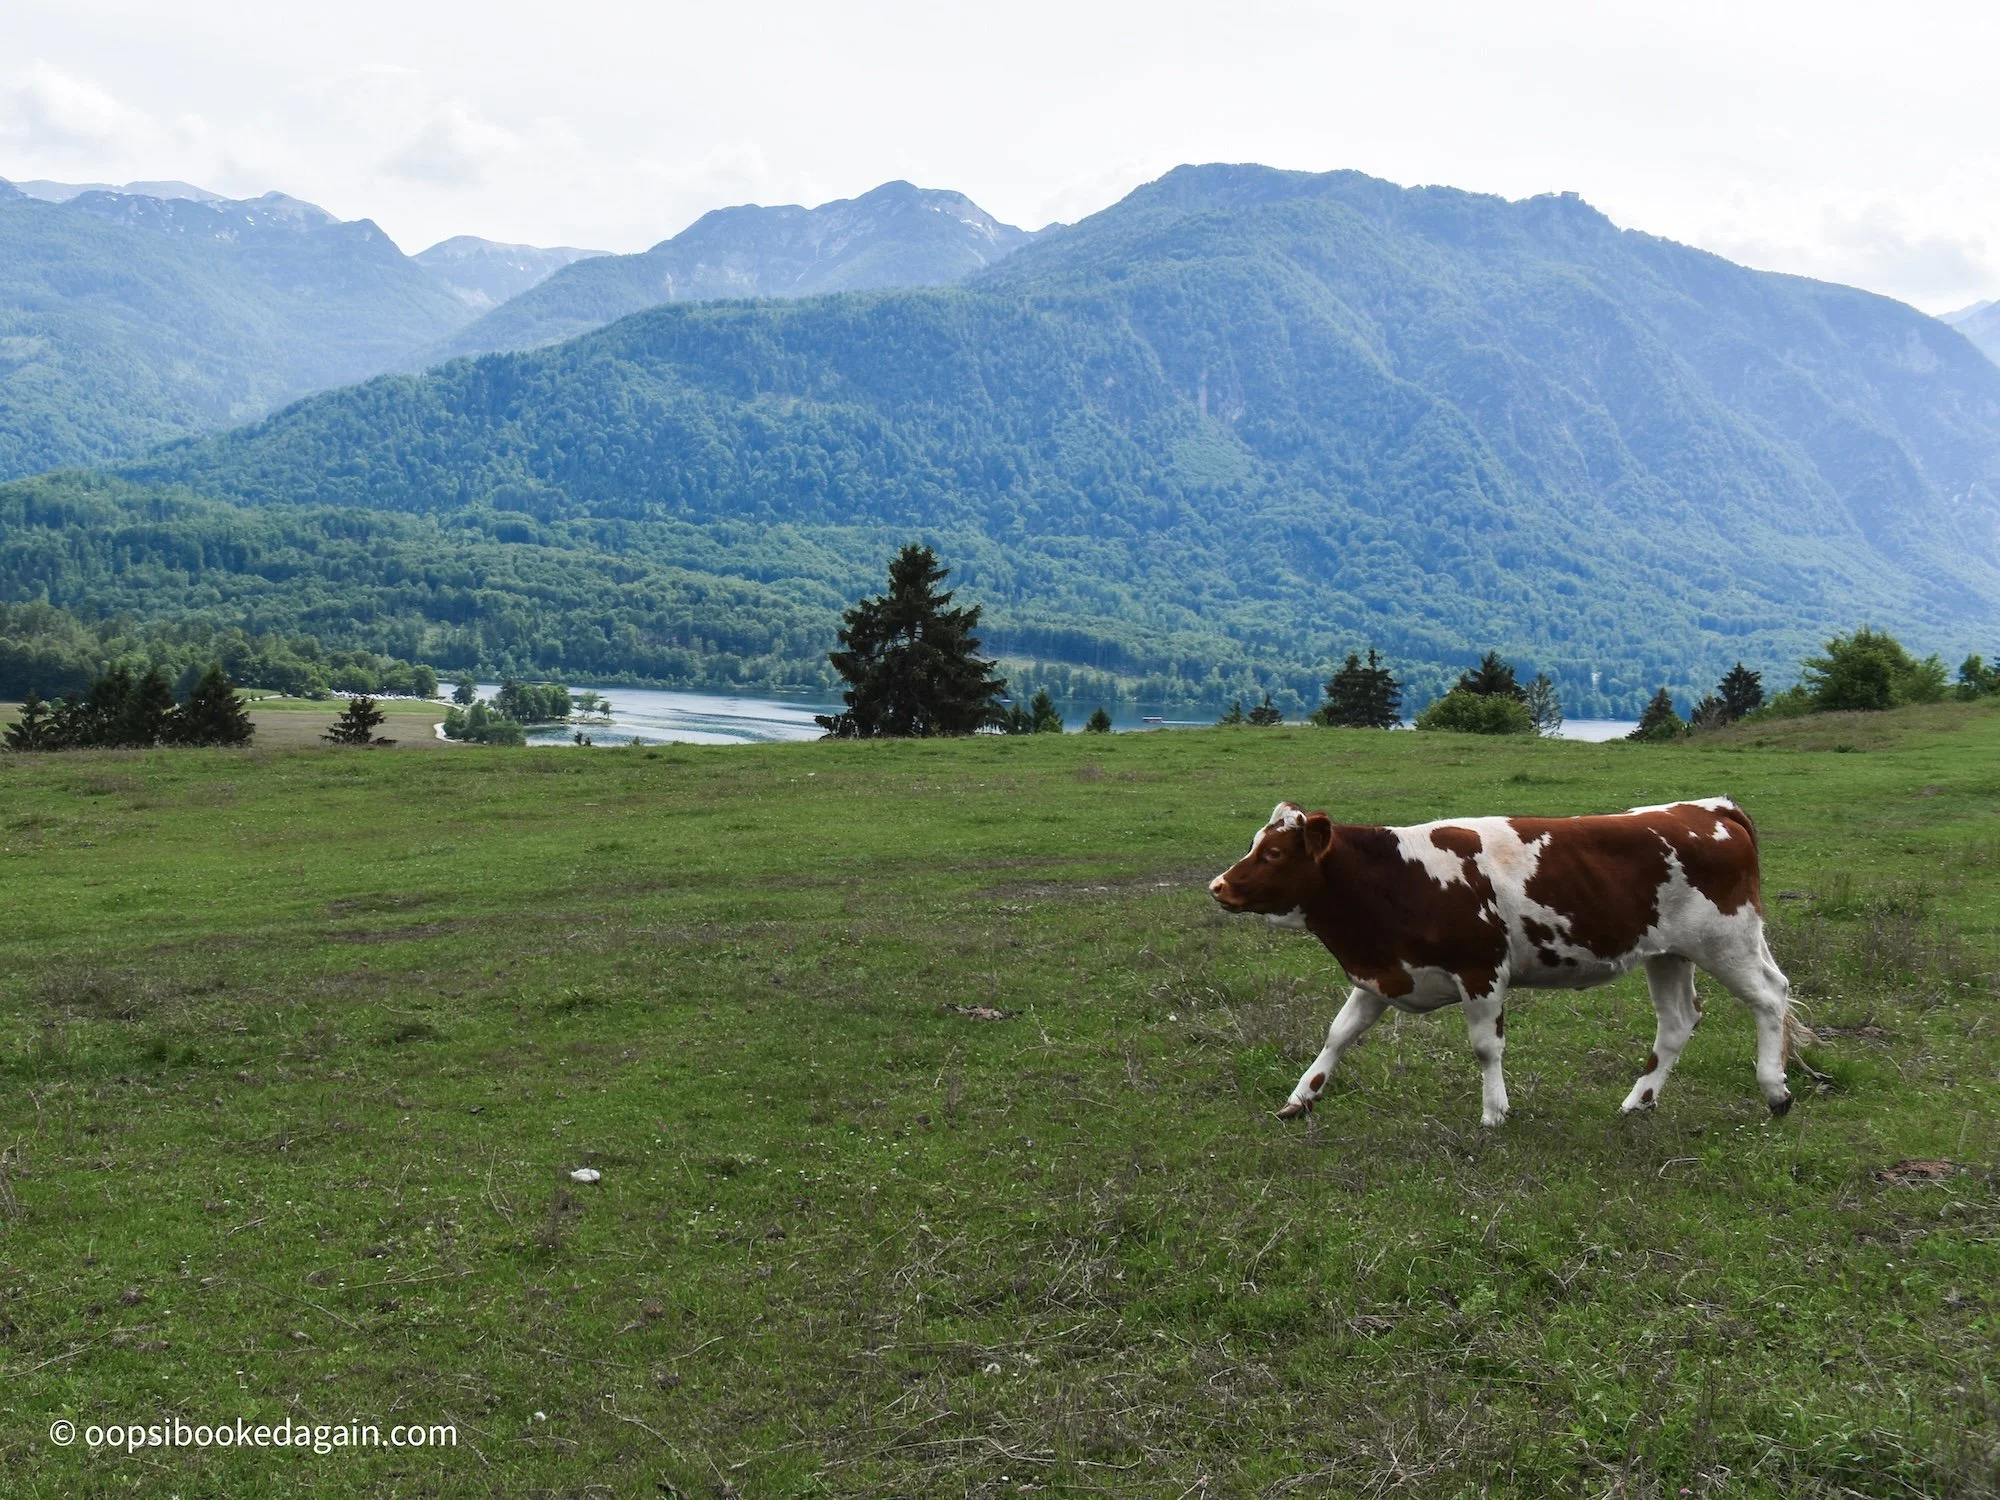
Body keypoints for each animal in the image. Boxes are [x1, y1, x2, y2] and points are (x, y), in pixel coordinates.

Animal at [1208, 798, 1797, 1126]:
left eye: (1274, 853)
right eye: (1256, 844)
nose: (1218, 886)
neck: (1396, 877)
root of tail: (1707, 808)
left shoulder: (1482, 970)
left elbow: (1485, 1047)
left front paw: (1494, 1112)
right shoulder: (1384, 973)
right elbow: (1338, 1033)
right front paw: (1300, 1098)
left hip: (1727, 942)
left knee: (1770, 998)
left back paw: (1775, 1090)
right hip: (1669, 954)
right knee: (1677, 1023)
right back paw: (1639, 1101)